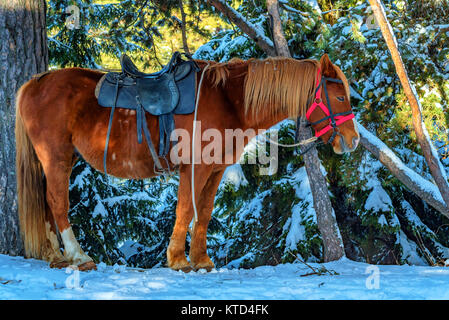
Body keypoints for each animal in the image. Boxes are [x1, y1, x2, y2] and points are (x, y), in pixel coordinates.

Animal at [14, 53, 358, 272]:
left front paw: (201, 260)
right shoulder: (195, 168)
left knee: (46, 203)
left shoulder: (216, 170)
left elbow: (203, 213)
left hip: (57, 160)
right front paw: (178, 259)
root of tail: (36, 82)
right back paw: (77, 255)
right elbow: (185, 210)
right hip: (56, 156)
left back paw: (55, 255)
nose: (353, 140)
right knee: (58, 202)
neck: (229, 100)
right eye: (340, 97)